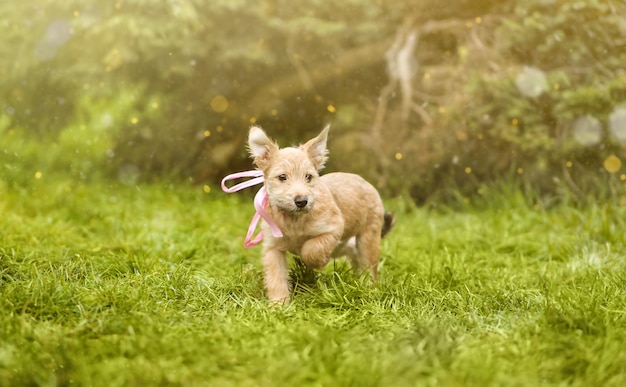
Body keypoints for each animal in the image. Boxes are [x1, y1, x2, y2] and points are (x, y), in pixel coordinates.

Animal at [246, 126, 392, 304]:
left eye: (308, 177)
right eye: (282, 177)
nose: (301, 201)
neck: (294, 219)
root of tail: (365, 181)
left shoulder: (333, 229)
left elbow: (311, 249)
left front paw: (320, 261)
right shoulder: (273, 248)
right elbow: (276, 277)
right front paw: (279, 303)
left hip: (367, 238)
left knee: (368, 266)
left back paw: (368, 287)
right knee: (353, 253)